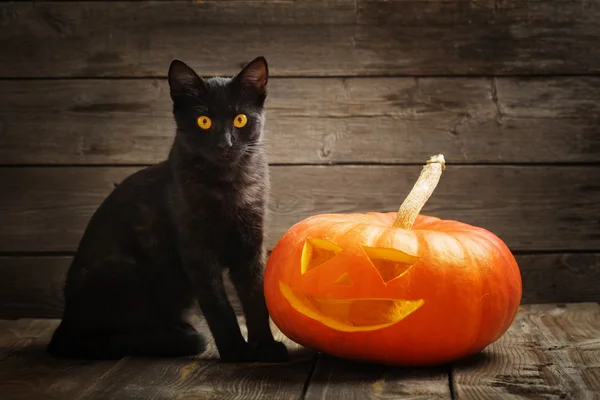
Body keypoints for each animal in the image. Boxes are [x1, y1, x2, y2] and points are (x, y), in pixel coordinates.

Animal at [47, 57, 288, 362]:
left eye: (240, 119)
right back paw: (172, 337)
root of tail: (64, 323)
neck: (226, 186)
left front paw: (266, 347)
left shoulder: (250, 242)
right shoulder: (196, 250)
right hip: (126, 273)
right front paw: (236, 352)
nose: (225, 144)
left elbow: (256, 298)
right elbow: (218, 305)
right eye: (203, 121)